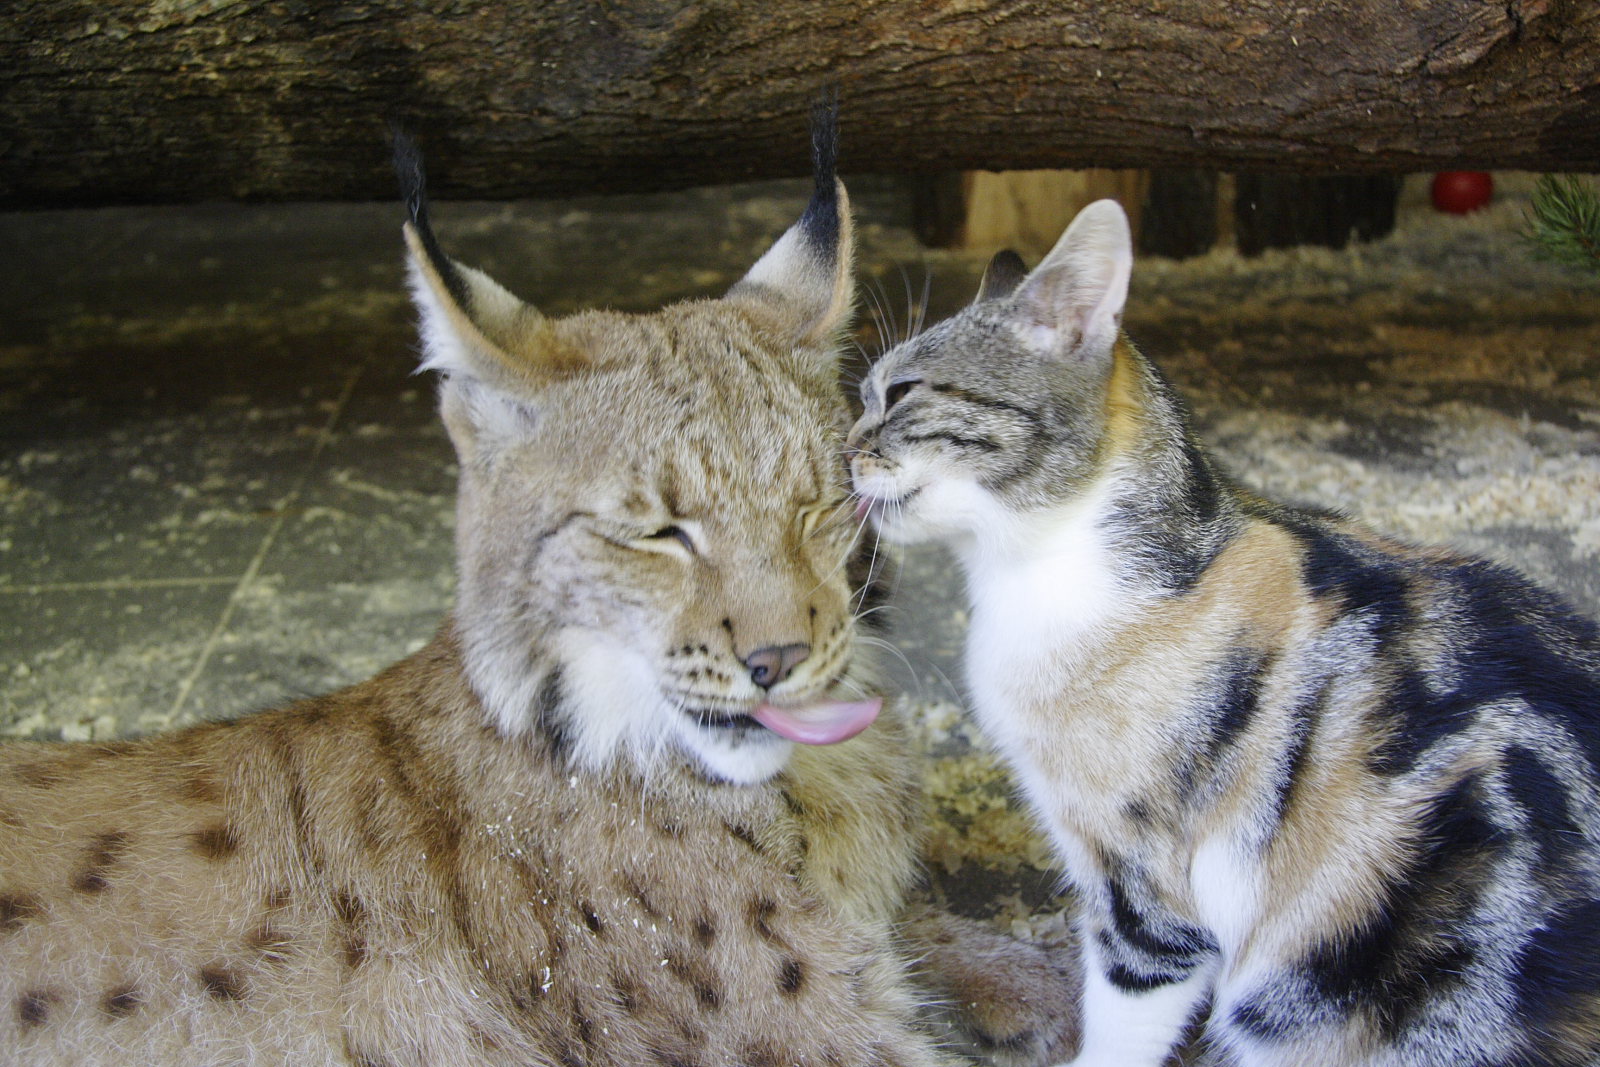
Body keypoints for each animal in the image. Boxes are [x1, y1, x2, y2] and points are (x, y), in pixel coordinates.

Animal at [3, 110, 1075, 1067]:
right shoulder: (822, 1039)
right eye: (657, 533)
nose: (781, 660)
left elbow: (924, 931)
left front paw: (1029, 974)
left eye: (819, 506)